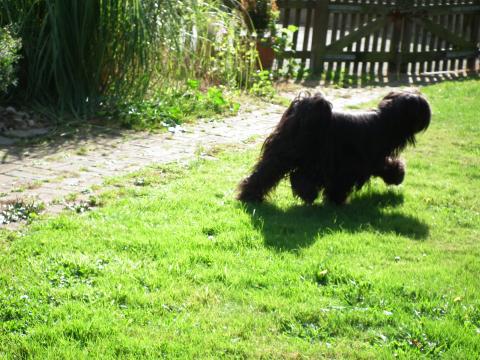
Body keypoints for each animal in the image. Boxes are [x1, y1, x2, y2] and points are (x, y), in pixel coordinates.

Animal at [238, 90, 430, 205]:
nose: (429, 112)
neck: (385, 121)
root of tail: (303, 110)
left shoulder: (373, 161)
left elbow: (387, 165)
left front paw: (398, 174)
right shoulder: (351, 164)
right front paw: (337, 200)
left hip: (281, 153)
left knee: (267, 172)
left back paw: (249, 195)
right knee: (294, 176)